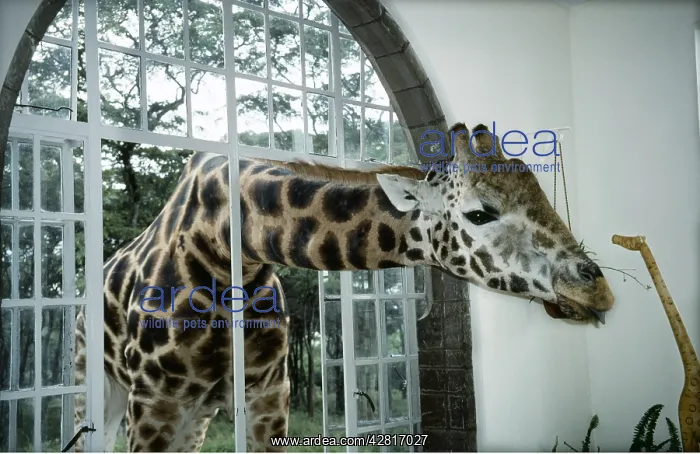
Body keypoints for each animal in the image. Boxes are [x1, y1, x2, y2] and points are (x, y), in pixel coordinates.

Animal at [71, 122, 615, 452]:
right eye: (481, 213)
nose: (598, 291)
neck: (230, 247)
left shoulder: (268, 391)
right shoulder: (155, 400)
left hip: (197, 410)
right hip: (102, 386)